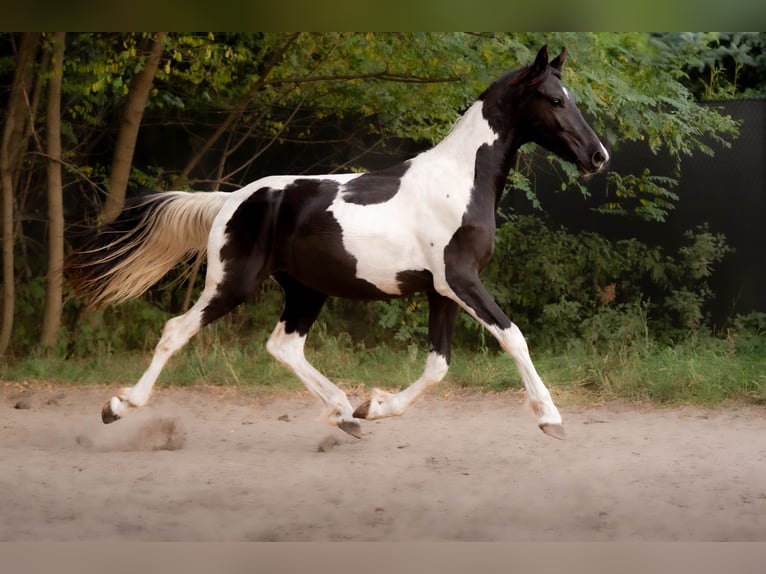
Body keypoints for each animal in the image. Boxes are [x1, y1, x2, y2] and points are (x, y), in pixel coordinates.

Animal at [66, 45, 609, 441]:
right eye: (555, 100)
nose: (598, 156)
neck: (458, 183)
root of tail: (233, 199)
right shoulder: (460, 281)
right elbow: (512, 336)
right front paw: (550, 418)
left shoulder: (442, 291)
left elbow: (438, 365)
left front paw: (375, 406)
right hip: (233, 283)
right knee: (177, 330)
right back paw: (117, 406)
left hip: (306, 290)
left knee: (283, 345)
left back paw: (345, 413)